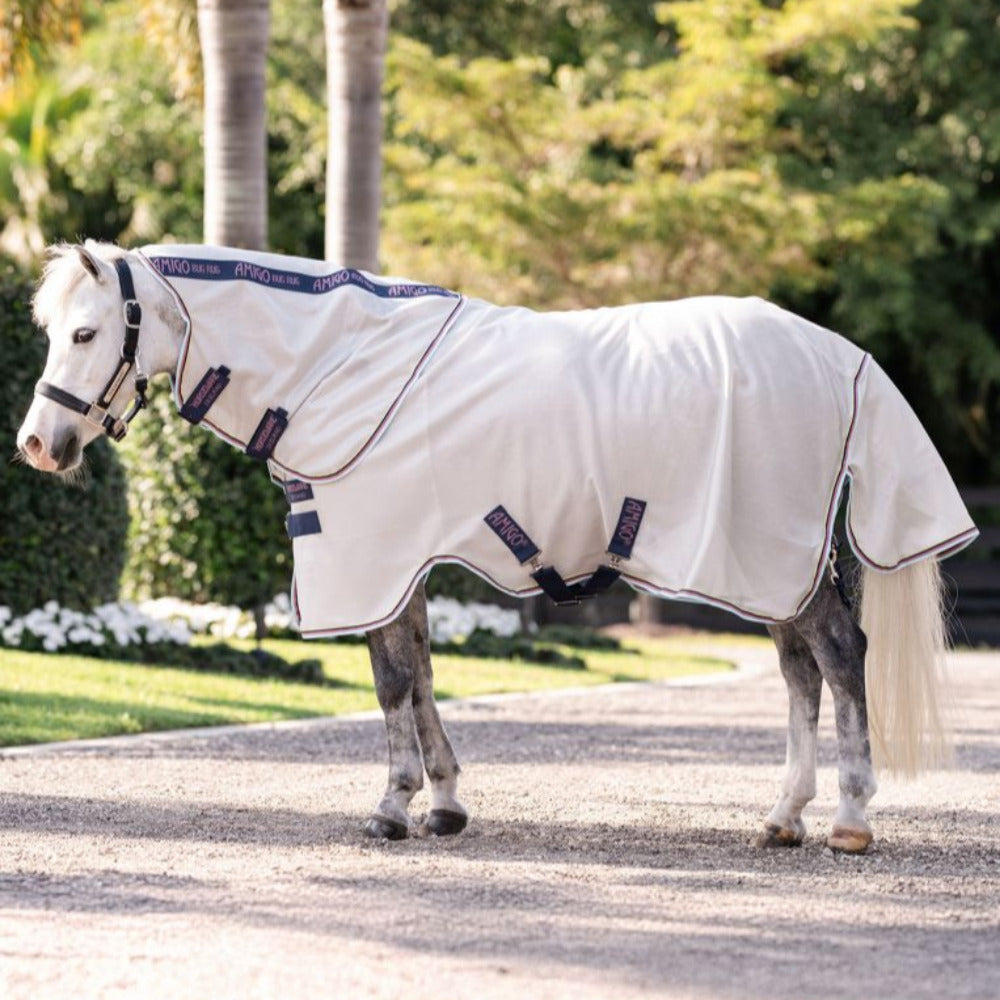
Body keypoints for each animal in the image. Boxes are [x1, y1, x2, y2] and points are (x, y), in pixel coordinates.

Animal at [16, 240, 977, 854]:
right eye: (53, 331)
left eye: (88, 333)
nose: (37, 446)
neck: (340, 362)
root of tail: (841, 356)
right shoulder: (401, 561)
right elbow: (421, 674)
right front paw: (443, 805)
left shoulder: (372, 552)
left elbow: (392, 681)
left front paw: (393, 807)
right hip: (773, 565)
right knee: (801, 670)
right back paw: (784, 816)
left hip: (770, 556)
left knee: (840, 655)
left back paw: (850, 821)